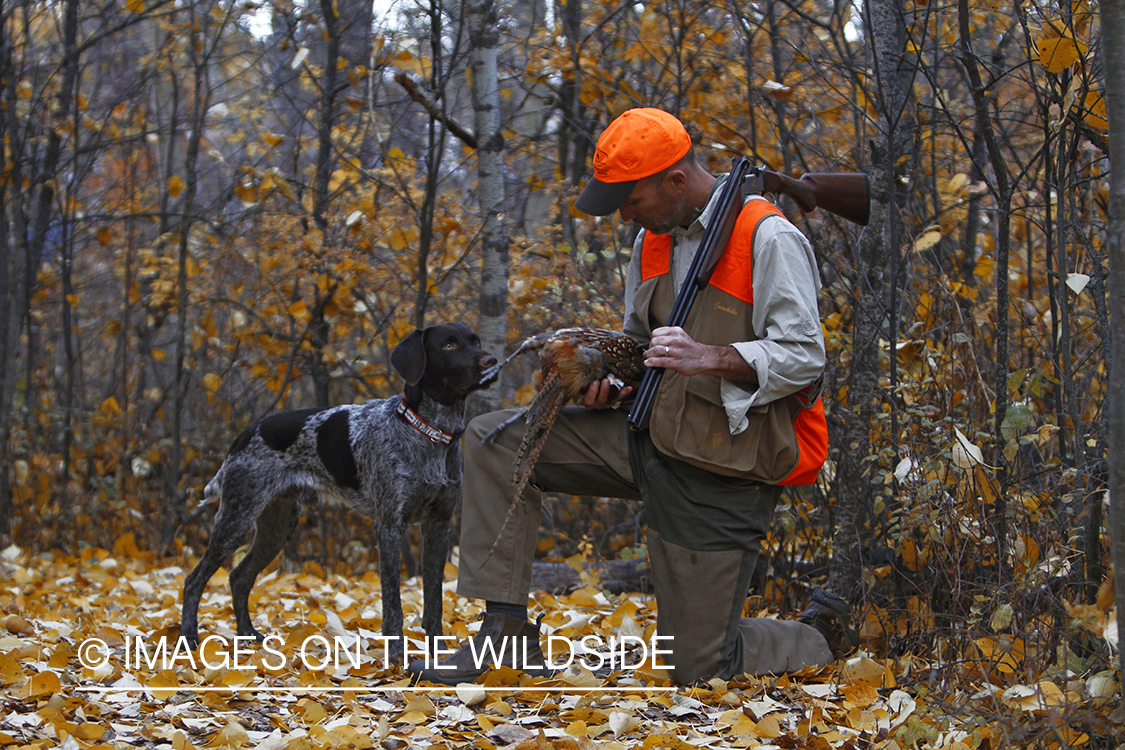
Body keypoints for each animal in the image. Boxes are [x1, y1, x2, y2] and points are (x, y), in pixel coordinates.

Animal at [180, 319, 497, 661]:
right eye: (448, 345)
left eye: (475, 341)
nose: (491, 361)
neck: (431, 433)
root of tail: (246, 432)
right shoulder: (389, 527)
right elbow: (393, 604)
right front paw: (396, 657)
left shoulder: (438, 525)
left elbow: (434, 600)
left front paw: (438, 651)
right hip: (237, 518)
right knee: (193, 580)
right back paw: (189, 638)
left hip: (277, 527)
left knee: (239, 577)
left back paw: (248, 635)